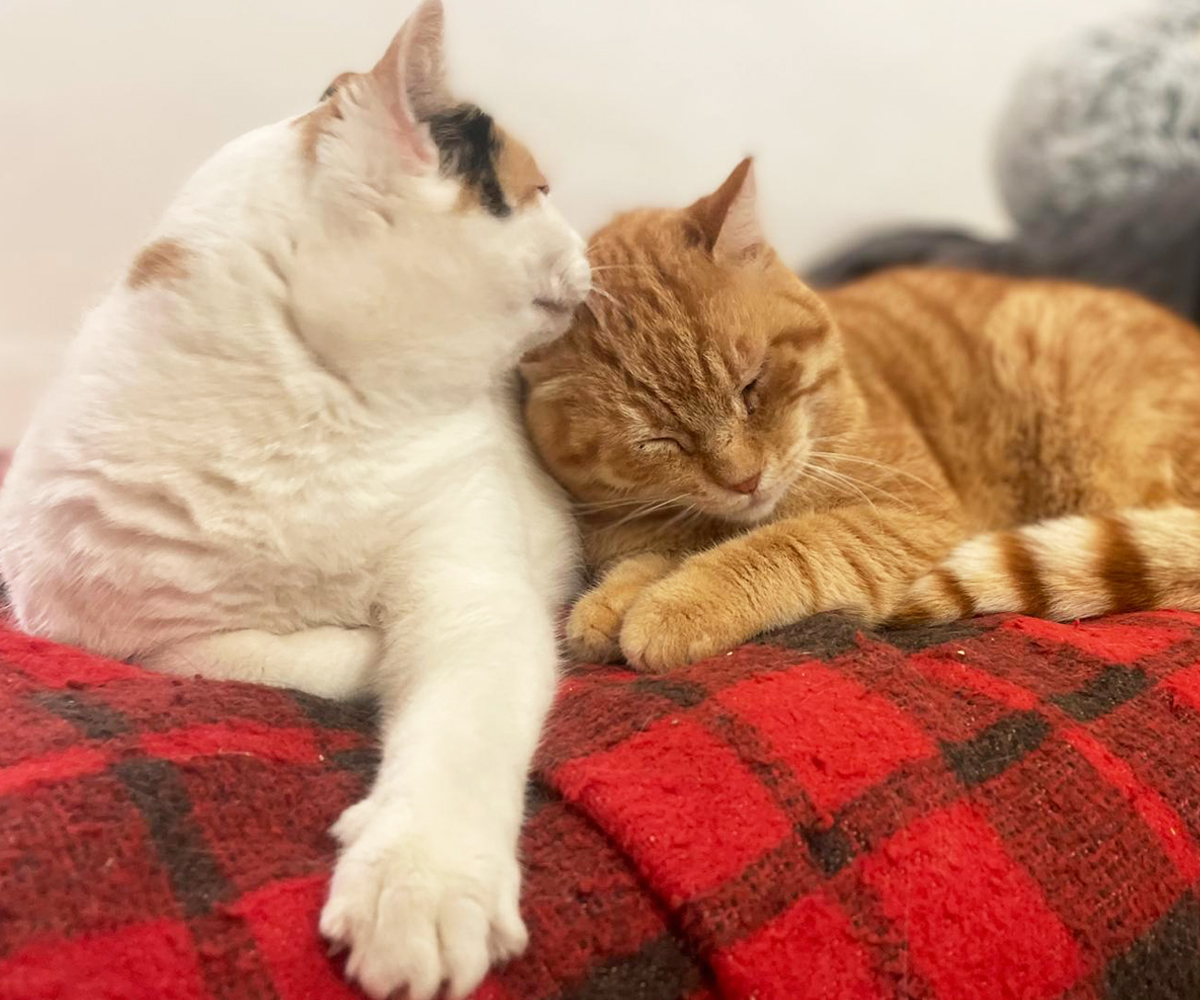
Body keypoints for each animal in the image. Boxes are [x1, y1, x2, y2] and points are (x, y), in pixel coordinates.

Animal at [0, 3, 590, 998]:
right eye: (540, 188)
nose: (589, 245)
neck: (314, 426)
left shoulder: (474, 591)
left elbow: (460, 725)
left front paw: (421, 883)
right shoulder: (90, 623)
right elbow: (244, 658)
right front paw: (359, 650)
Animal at [521, 157, 1200, 673]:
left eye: (753, 386)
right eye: (658, 440)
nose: (745, 480)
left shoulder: (912, 519)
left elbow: (787, 545)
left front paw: (672, 606)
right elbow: (642, 561)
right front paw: (609, 604)